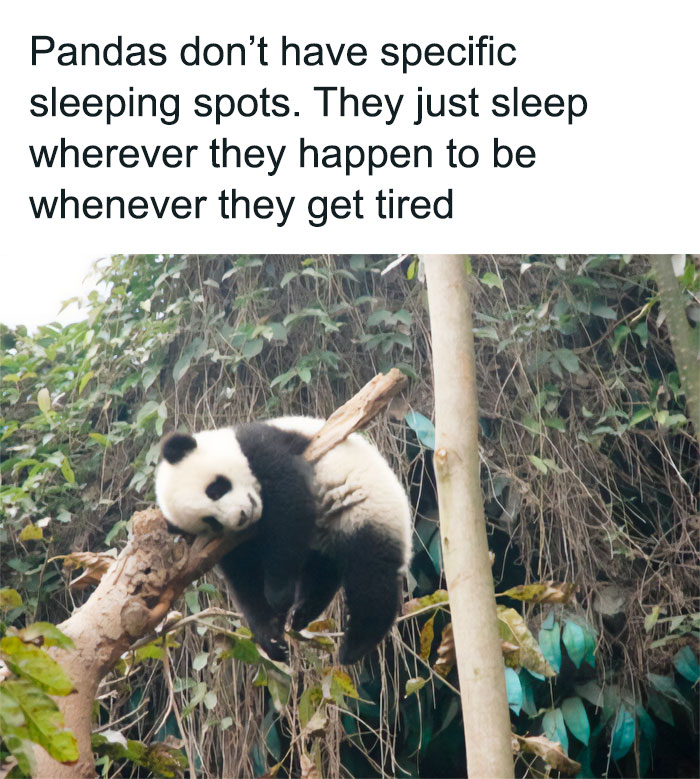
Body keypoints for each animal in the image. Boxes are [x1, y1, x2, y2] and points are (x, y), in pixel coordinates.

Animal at [155, 417, 412, 665]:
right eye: (211, 521)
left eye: (216, 489)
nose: (242, 516)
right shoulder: (229, 545)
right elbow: (246, 578)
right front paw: (272, 639)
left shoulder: (264, 448)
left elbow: (288, 503)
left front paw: (279, 596)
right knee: (324, 570)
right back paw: (303, 612)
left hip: (368, 509)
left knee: (371, 575)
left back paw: (355, 646)